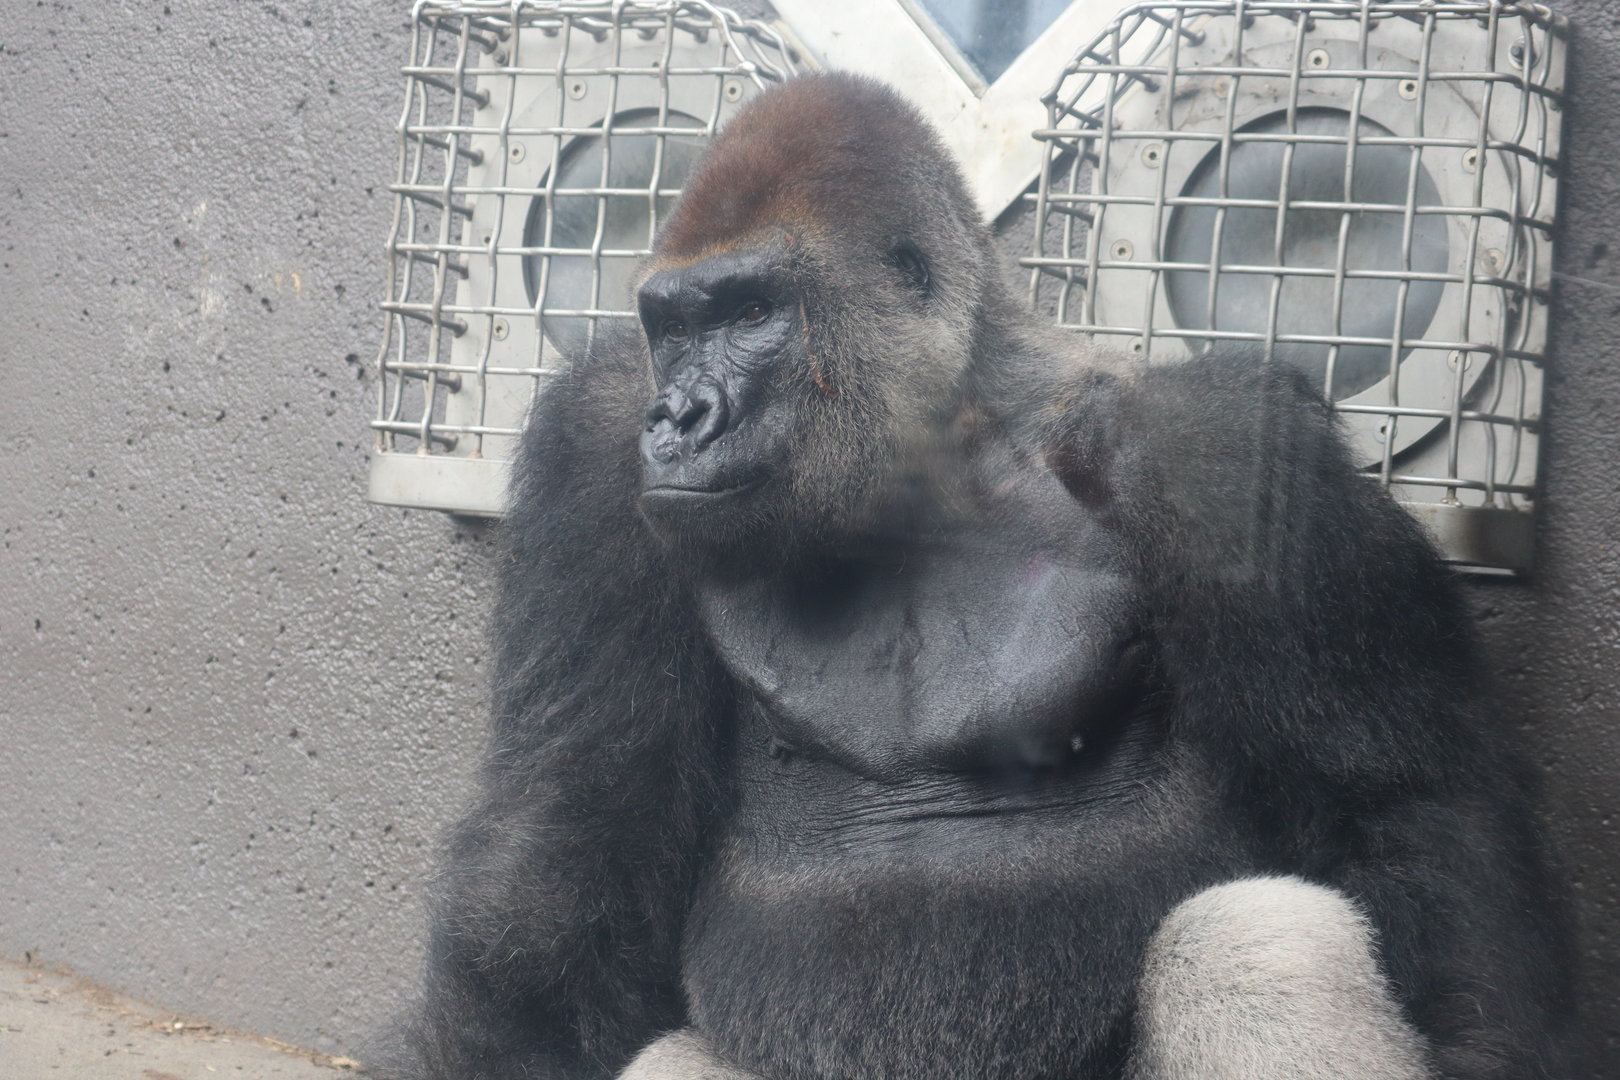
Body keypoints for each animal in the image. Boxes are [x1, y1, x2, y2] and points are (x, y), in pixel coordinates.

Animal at [385, 73, 1573, 1080]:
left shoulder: (1221, 450)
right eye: (671, 326)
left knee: (1259, 936)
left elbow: (1402, 808)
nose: (676, 418)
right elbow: (564, 848)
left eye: (751, 311)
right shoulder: (595, 454)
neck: (941, 443)